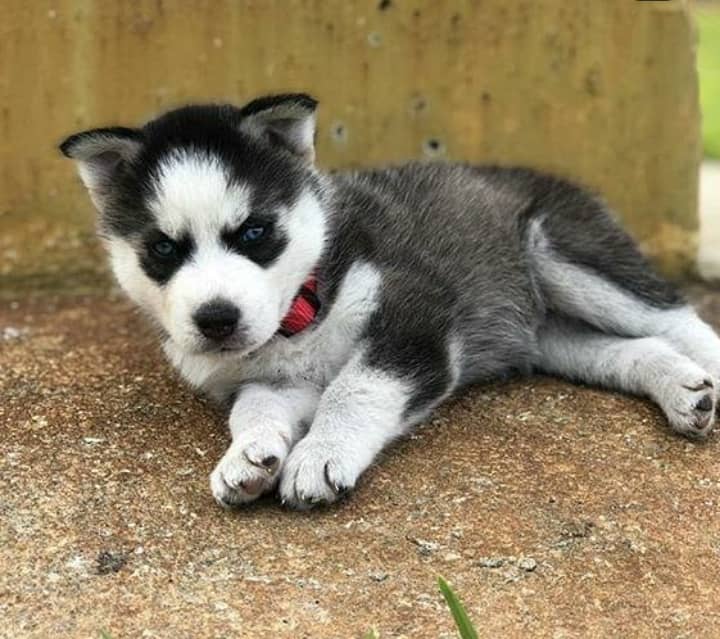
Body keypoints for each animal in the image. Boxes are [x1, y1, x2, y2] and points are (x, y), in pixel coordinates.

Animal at [60, 94, 720, 510]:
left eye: (253, 233)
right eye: (163, 249)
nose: (216, 320)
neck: (303, 308)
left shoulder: (416, 316)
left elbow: (356, 389)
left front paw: (320, 454)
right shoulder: (277, 380)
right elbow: (253, 411)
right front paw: (248, 455)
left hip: (567, 253)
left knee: (675, 318)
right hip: (552, 334)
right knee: (634, 347)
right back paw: (684, 391)